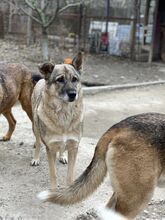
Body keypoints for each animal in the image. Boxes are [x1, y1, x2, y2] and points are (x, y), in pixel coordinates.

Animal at [30, 51, 83, 189]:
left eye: (74, 79)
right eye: (60, 80)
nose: (73, 94)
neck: (64, 114)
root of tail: (42, 79)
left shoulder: (74, 147)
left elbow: (70, 175)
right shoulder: (51, 149)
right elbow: (53, 173)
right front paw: (53, 190)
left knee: (62, 148)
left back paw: (62, 156)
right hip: (36, 127)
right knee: (38, 143)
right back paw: (36, 158)